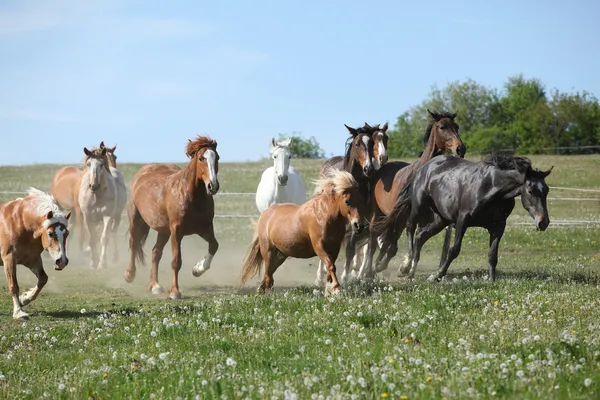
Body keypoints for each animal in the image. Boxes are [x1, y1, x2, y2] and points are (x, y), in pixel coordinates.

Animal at [0, 189, 71, 320]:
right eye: (50, 233)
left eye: (67, 233)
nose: (62, 261)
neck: (21, 222)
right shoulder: (9, 258)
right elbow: (14, 285)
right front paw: (19, 312)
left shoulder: (32, 259)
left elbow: (43, 279)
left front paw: (24, 299)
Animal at [124, 136, 220, 298]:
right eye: (201, 158)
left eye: (217, 157)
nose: (212, 186)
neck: (190, 196)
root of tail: (143, 171)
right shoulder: (177, 231)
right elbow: (176, 261)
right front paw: (174, 292)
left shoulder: (205, 227)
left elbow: (214, 245)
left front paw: (197, 269)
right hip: (136, 220)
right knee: (133, 242)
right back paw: (129, 274)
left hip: (163, 231)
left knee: (155, 252)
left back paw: (155, 285)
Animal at [352, 108, 468, 282]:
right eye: (442, 127)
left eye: (457, 126)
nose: (461, 149)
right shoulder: (404, 217)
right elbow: (399, 241)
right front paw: (400, 267)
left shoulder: (428, 219)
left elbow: (417, 238)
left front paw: (403, 266)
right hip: (379, 214)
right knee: (373, 240)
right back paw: (367, 272)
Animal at [376, 153, 552, 282]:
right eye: (530, 190)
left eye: (546, 190)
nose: (543, 222)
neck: (491, 186)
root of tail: (423, 167)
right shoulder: (462, 220)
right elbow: (454, 250)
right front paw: (437, 275)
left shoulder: (498, 226)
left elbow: (492, 254)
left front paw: (491, 279)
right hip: (418, 207)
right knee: (410, 229)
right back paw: (406, 267)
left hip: (441, 219)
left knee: (420, 236)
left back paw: (411, 272)